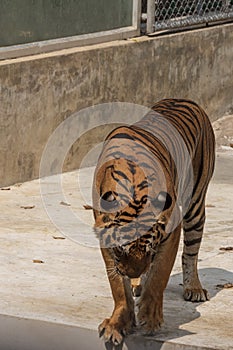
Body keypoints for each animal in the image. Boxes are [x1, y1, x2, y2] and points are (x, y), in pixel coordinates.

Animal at [92, 98, 216, 344]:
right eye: (120, 249)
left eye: (148, 248)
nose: (133, 273)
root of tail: (187, 100)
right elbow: (118, 287)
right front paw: (116, 325)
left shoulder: (171, 231)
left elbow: (159, 275)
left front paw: (150, 318)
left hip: (196, 203)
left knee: (191, 253)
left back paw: (194, 288)